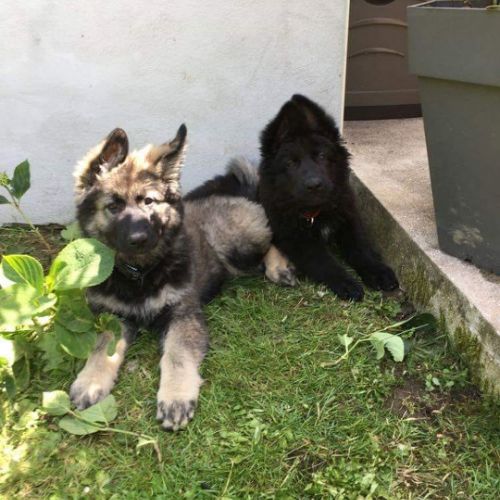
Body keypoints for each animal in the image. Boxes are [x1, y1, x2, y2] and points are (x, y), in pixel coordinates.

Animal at [70, 125, 293, 430]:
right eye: (113, 206)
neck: (140, 275)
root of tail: (240, 194)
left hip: (238, 244)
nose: (139, 239)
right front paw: (90, 381)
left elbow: (176, 355)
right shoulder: (113, 315)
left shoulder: (182, 314)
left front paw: (175, 397)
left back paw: (278, 266)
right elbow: (102, 347)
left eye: (148, 201)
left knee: (271, 237)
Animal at [256, 94, 398, 300]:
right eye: (290, 163)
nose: (314, 185)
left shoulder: (350, 220)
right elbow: (324, 262)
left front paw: (378, 272)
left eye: (322, 156)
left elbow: (362, 248)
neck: (316, 213)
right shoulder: (298, 239)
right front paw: (346, 283)